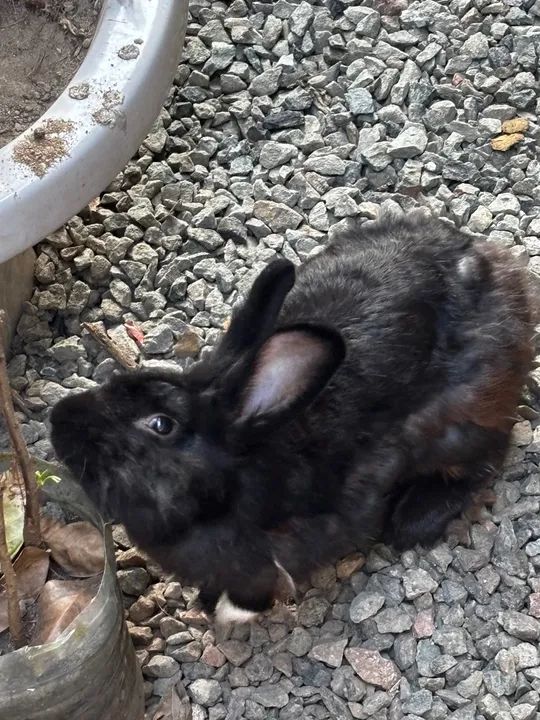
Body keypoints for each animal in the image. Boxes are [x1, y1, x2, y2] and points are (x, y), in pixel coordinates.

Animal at [50, 212, 536, 623]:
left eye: (160, 425)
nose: (58, 418)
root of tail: (493, 262)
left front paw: (230, 613)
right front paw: (207, 602)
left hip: (464, 421)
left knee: (486, 458)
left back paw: (416, 518)